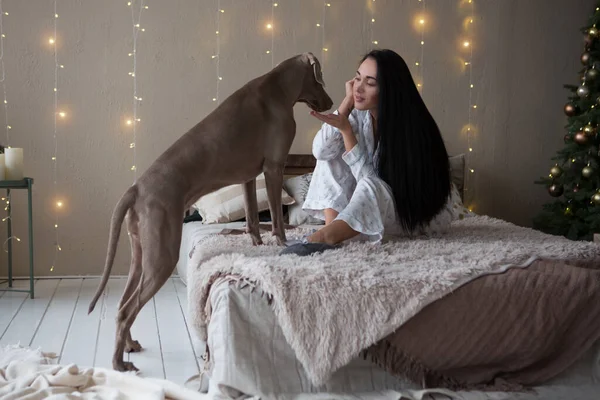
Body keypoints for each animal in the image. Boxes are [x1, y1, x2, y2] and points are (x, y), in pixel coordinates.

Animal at [88, 52, 332, 372]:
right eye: (321, 79)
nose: (332, 103)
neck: (279, 87)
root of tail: (136, 188)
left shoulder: (248, 176)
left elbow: (253, 219)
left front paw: (257, 244)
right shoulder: (273, 167)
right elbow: (277, 220)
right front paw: (282, 242)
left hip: (142, 253)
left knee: (121, 306)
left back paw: (128, 345)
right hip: (162, 256)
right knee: (129, 308)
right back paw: (118, 363)